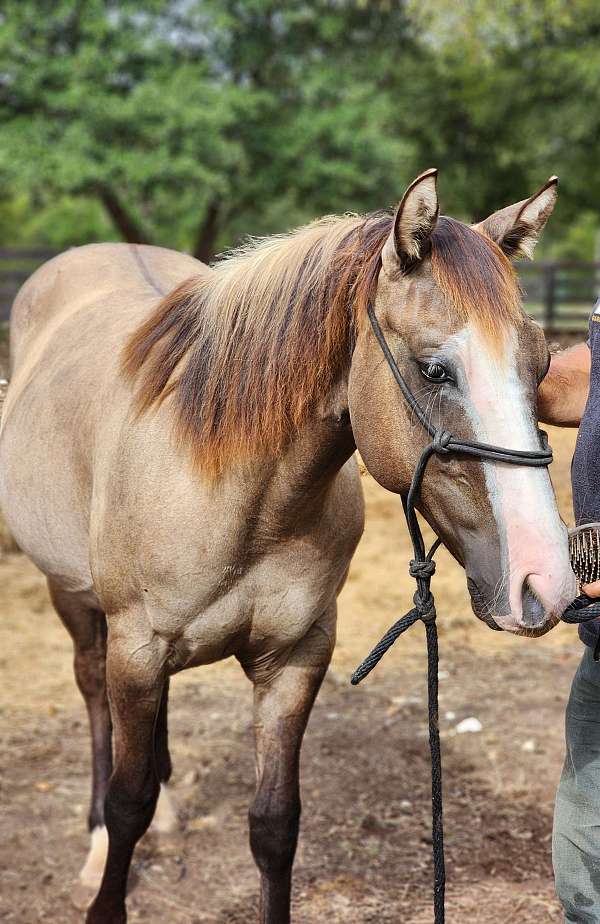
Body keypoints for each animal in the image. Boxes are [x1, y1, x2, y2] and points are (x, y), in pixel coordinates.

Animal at [0, 168, 576, 924]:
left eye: (542, 364)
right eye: (435, 370)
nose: (545, 581)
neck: (238, 494)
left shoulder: (295, 657)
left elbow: (274, 823)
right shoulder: (138, 647)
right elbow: (127, 801)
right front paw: (107, 878)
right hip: (77, 602)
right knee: (96, 700)